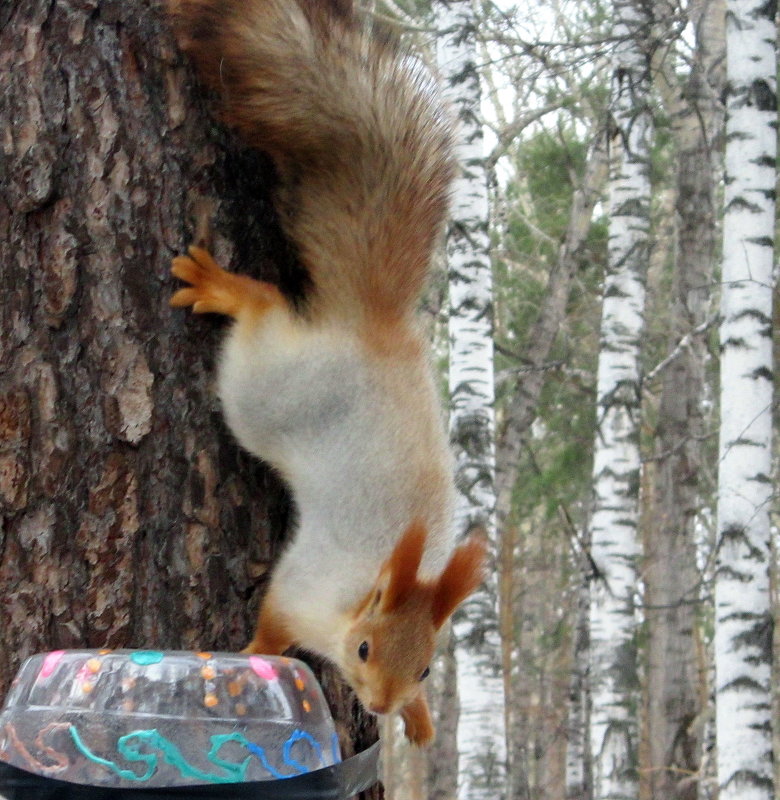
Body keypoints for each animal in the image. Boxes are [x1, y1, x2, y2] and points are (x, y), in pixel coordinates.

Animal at [169, 0, 488, 744]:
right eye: (366, 648)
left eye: (428, 667)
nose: (382, 705)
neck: (364, 590)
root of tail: (372, 328)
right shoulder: (304, 583)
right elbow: (274, 621)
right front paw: (251, 659)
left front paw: (422, 722)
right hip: (265, 389)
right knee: (264, 308)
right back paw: (225, 288)